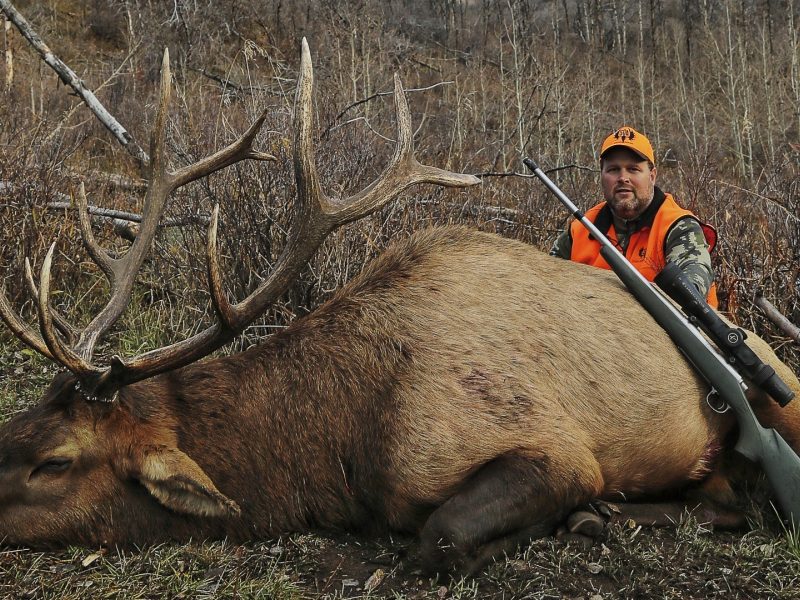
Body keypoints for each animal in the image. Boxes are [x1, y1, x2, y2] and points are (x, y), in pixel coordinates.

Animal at [1, 40, 799, 575]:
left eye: (55, 462)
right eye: (18, 424)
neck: (341, 444)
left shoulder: (551, 447)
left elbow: (439, 536)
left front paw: (553, 522)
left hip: (778, 392)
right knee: (724, 496)